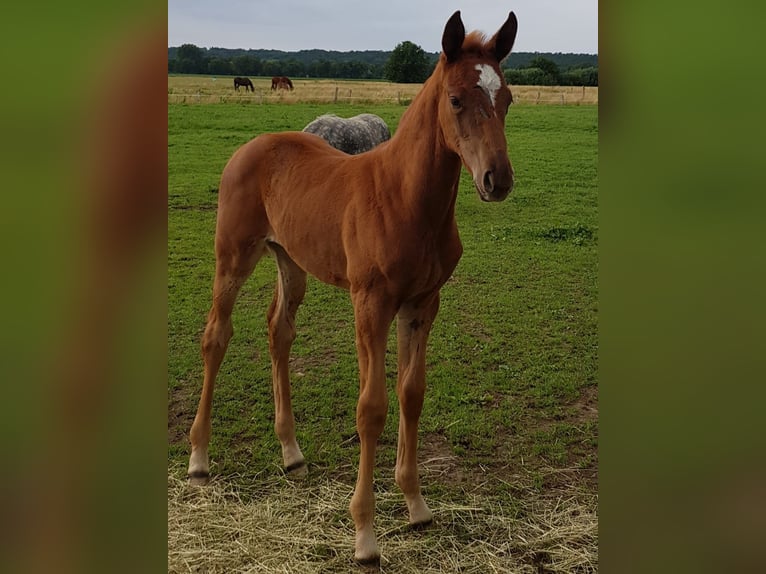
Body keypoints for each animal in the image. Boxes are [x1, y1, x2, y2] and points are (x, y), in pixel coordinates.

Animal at [189, 10, 520, 568]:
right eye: (456, 99)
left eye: (508, 99)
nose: (497, 179)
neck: (406, 200)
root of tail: (253, 145)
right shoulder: (370, 304)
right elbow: (372, 409)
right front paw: (365, 536)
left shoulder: (422, 304)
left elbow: (411, 394)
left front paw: (416, 506)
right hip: (233, 256)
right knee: (216, 335)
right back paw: (198, 458)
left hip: (291, 260)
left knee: (279, 331)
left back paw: (292, 454)